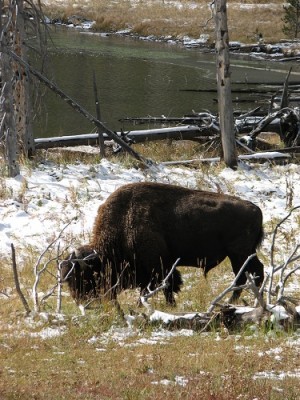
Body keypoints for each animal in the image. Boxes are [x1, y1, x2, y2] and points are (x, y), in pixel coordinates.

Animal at [61, 183, 264, 304]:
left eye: (85, 276)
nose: (81, 301)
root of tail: (255, 208)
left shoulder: (158, 265)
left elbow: (165, 285)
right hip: (244, 254)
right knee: (255, 272)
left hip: (238, 255)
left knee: (243, 276)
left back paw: (232, 302)